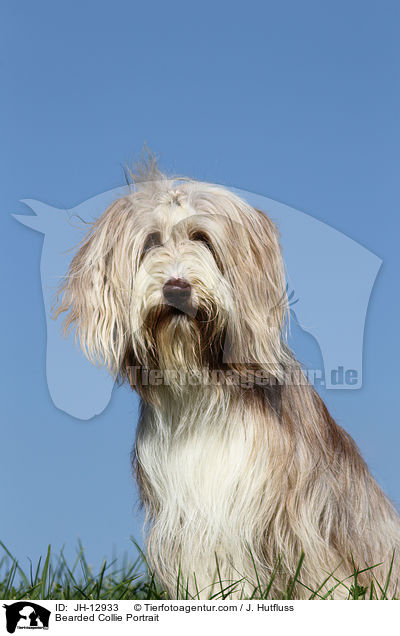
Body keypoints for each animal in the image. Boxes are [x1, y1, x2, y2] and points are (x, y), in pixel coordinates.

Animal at [55, 161, 400, 600]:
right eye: (151, 242)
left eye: (203, 239)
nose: (176, 287)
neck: (202, 390)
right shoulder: (190, 519)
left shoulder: (299, 516)